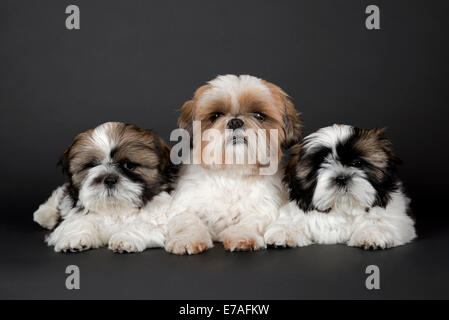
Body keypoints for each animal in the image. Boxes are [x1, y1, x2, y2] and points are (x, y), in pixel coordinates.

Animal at [32, 122, 176, 252]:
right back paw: (43, 214)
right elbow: (77, 222)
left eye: (129, 165)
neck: (114, 208)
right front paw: (74, 238)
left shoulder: (157, 219)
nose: (109, 180)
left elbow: (142, 225)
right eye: (92, 165)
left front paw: (125, 238)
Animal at [164, 75, 300, 255]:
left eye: (259, 115)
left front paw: (242, 237)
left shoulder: (263, 209)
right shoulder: (184, 205)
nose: (235, 122)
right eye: (216, 116)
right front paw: (187, 239)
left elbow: (250, 221)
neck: (232, 172)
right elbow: (187, 220)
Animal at [262, 124, 416, 249]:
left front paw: (372, 234)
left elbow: (381, 221)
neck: (342, 208)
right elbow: (291, 220)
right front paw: (284, 233)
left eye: (357, 163)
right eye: (320, 166)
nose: (341, 178)